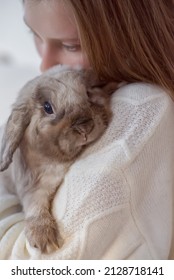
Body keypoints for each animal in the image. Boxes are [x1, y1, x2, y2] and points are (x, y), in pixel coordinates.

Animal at [0, 65, 117, 254]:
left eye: (88, 92)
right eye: (48, 107)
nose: (85, 128)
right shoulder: (34, 187)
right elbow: (35, 207)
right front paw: (45, 239)